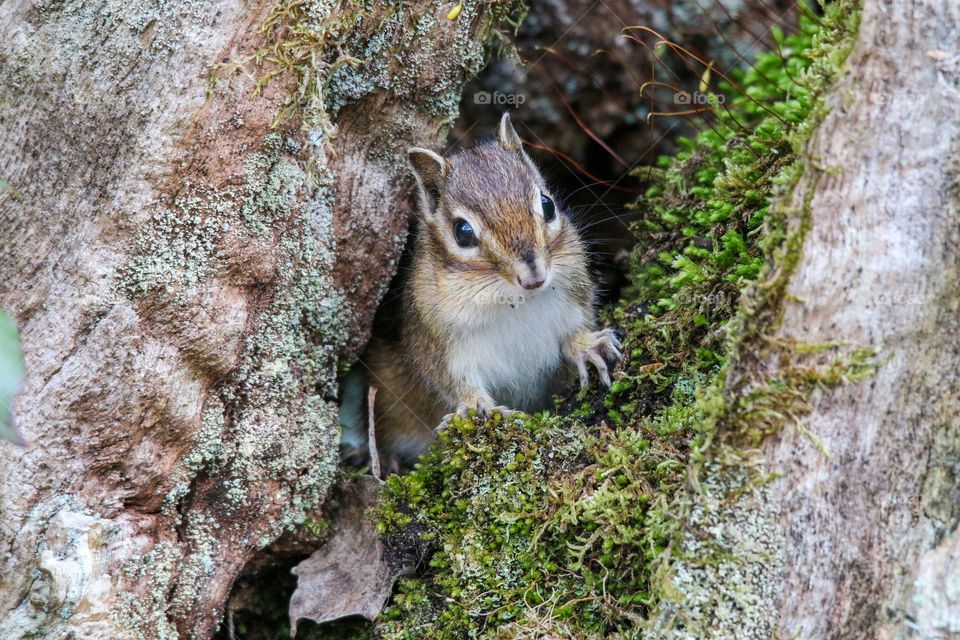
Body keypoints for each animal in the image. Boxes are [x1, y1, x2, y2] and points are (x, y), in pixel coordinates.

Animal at [341, 113, 622, 471]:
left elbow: (577, 327)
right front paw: (479, 408)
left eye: (547, 205)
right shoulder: (438, 341)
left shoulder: (574, 294)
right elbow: (453, 380)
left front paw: (588, 347)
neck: (515, 301)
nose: (534, 277)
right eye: (463, 232)